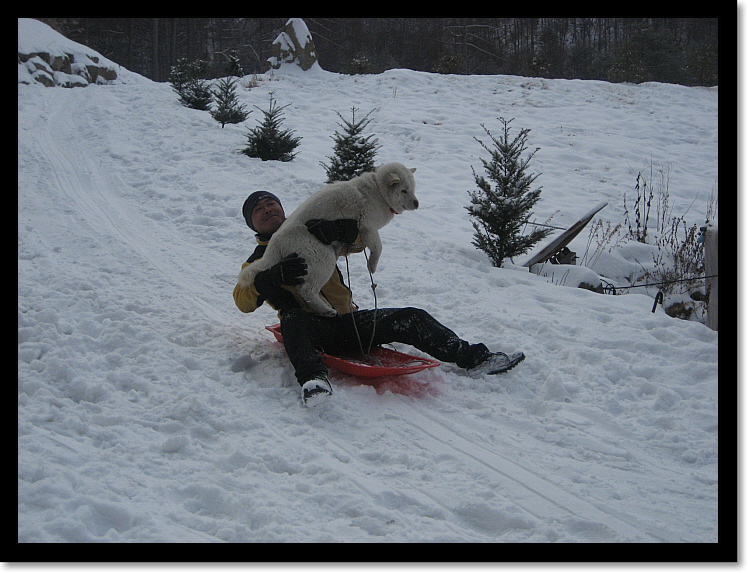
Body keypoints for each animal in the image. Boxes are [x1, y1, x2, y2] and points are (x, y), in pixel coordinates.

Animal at [237, 161, 418, 316]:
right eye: (404, 190)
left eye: (413, 189)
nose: (417, 203)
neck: (378, 191)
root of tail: (274, 242)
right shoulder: (368, 226)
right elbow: (378, 247)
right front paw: (372, 265)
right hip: (322, 258)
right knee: (306, 290)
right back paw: (326, 309)